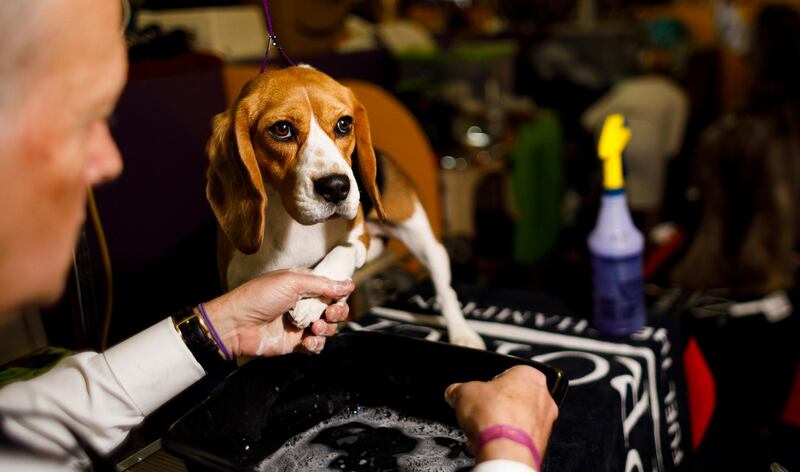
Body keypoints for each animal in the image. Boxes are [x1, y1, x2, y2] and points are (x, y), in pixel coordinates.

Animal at [206, 64, 484, 348]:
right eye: (281, 129)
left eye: (343, 124)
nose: (336, 187)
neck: (292, 223)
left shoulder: (358, 237)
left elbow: (339, 256)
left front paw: (310, 302)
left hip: (425, 242)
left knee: (446, 291)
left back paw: (462, 333)